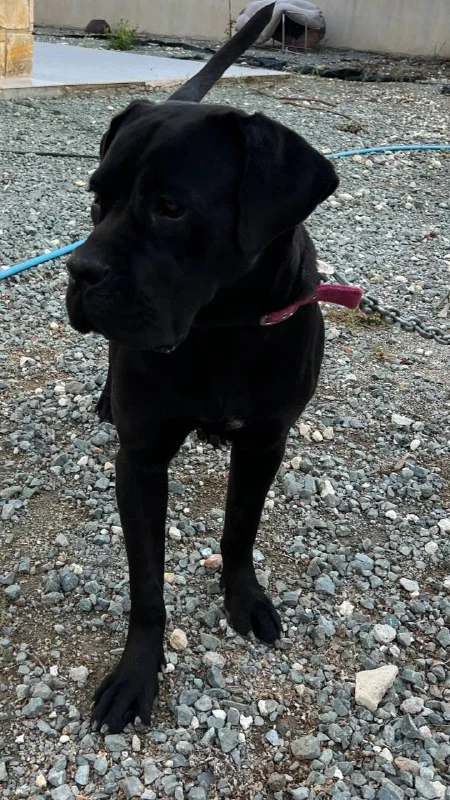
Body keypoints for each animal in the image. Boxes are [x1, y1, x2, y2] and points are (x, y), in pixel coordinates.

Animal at [65, 3, 339, 733]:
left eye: (171, 206)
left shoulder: (264, 441)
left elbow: (240, 529)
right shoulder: (142, 459)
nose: (79, 271)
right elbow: (147, 585)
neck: (219, 330)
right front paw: (136, 675)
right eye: (98, 198)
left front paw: (244, 599)